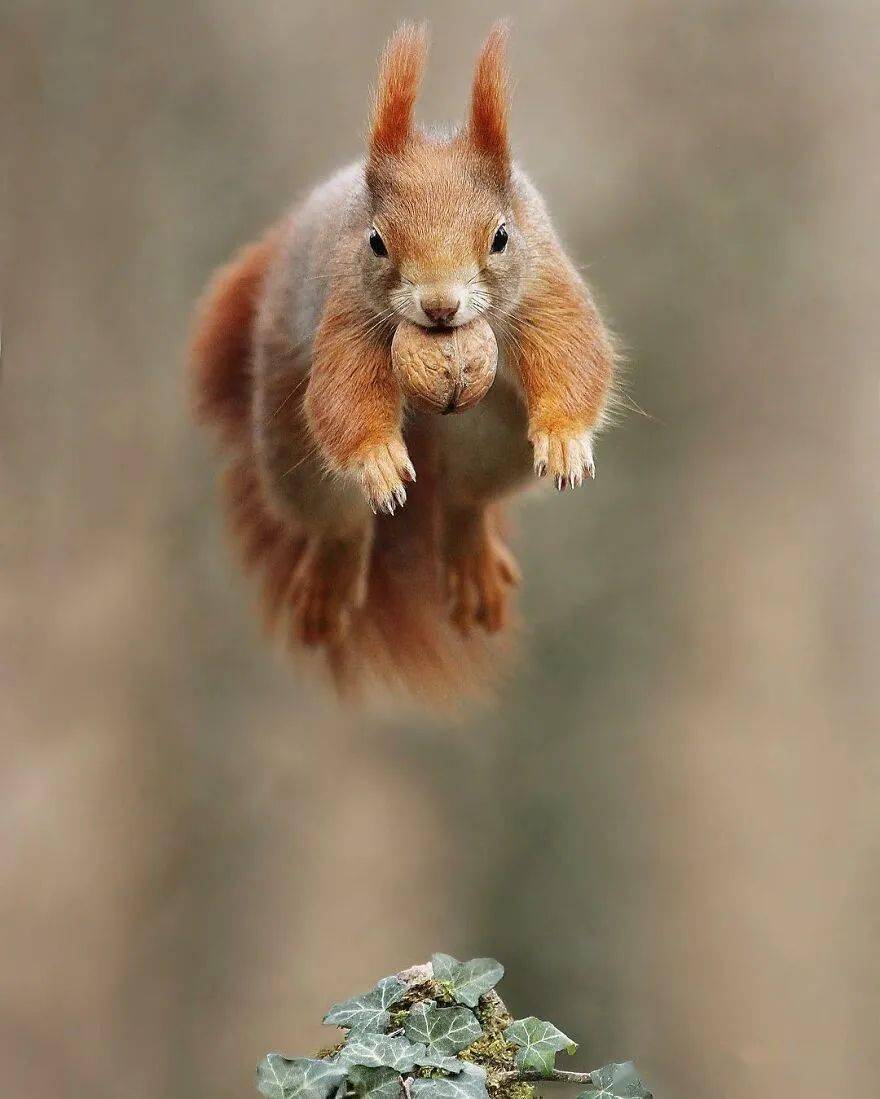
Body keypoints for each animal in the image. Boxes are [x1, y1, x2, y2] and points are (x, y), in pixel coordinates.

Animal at [190, 21, 619, 698]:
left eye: (502, 236)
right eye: (376, 241)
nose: (440, 307)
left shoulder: (544, 285)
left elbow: (574, 351)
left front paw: (566, 438)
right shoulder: (349, 309)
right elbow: (344, 394)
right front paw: (376, 459)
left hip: (496, 439)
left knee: (466, 500)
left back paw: (468, 554)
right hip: (290, 450)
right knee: (335, 522)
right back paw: (331, 576)